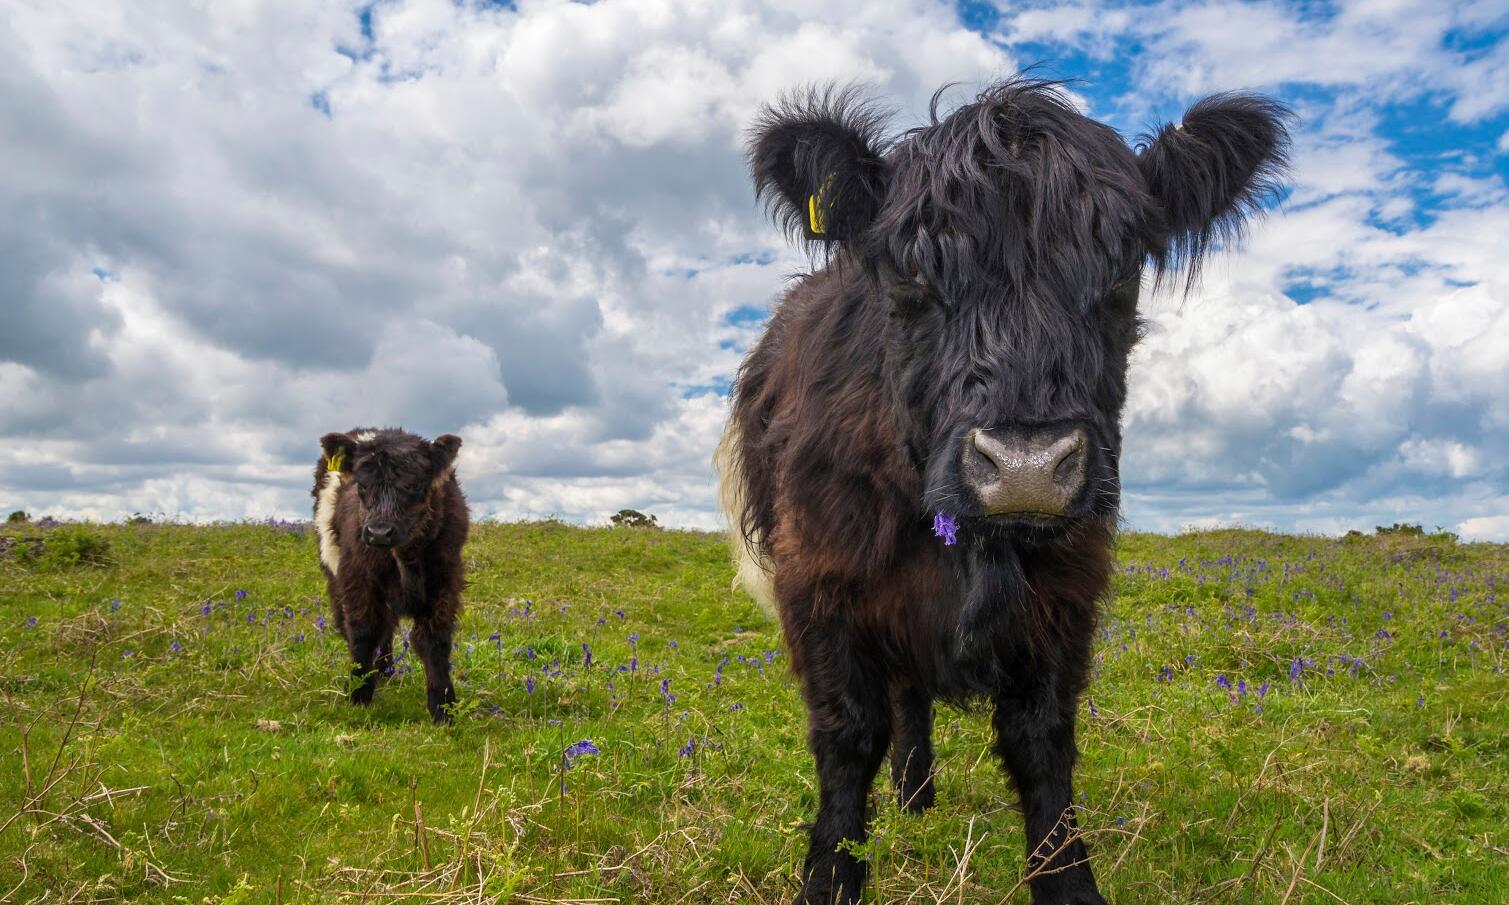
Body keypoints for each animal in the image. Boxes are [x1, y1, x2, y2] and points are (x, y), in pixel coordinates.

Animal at [313, 428, 468, 723]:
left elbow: (435, 640)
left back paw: (385, 672)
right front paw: (359, 694)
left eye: (415, 485)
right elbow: (363, 632)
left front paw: (443, 707)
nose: (379, 533)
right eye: (361, 486)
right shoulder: (357, 577)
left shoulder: (445, 581)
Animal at [717, 79, 1290, 904]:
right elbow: (847, 733)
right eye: (912, 273)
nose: (1025, 465)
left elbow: (1041, 739)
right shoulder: (817, 580)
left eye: (1119, 272)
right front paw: (830, 877)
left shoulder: (1069, 587)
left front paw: (1069, 883)